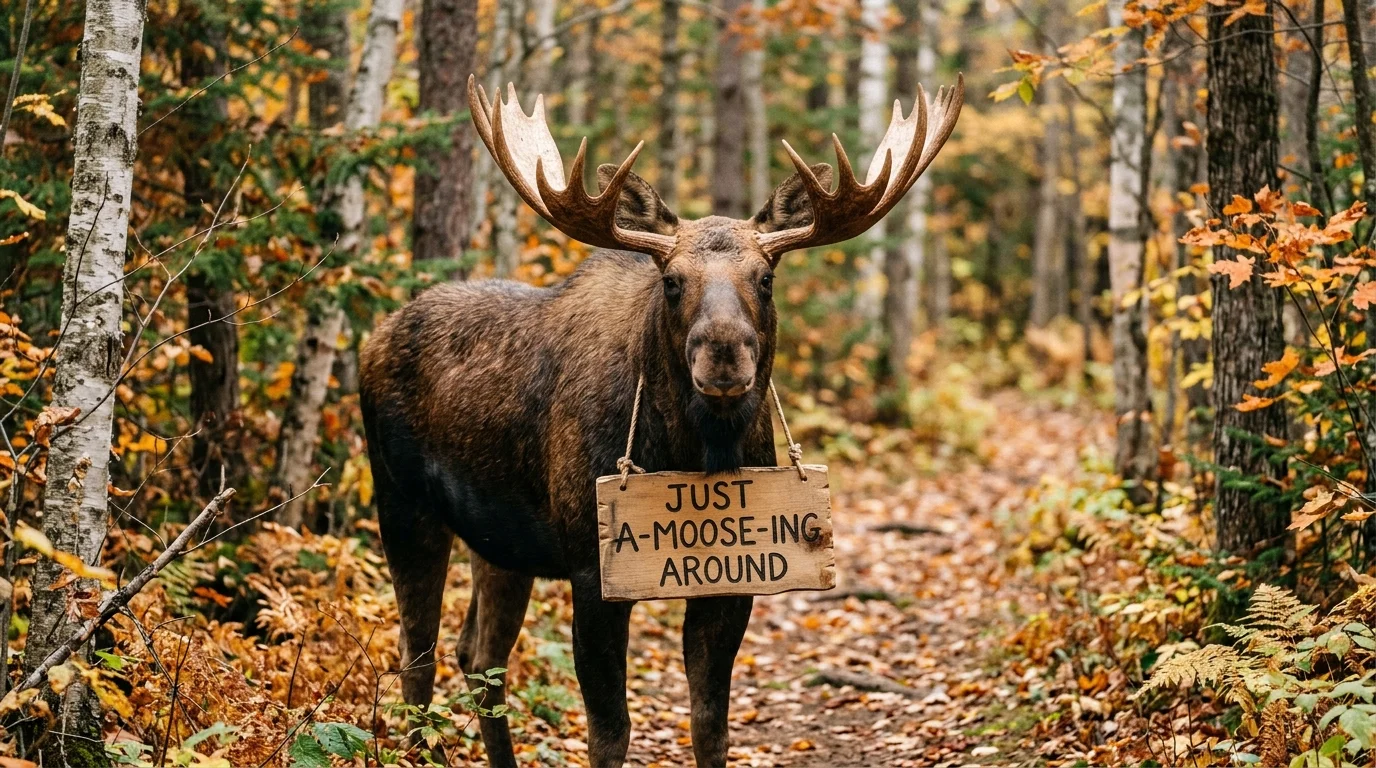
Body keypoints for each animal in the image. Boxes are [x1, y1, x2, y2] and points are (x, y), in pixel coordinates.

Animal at [358, 74, 963, 767]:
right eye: (672, 280)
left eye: (766, 277)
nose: (724, 350)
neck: (691, 450)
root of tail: (372, 340)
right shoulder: (594, 568)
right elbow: (609, 732)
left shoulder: (733, 577)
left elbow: (709, 726)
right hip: (402, 504)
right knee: (417, 657)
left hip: (501, 543)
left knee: (479, 656)